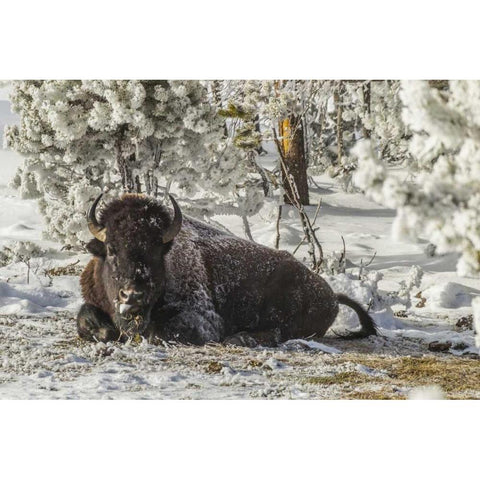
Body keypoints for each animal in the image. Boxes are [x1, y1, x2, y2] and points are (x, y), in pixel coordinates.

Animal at [77, 191, 376, 344]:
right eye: (112, 249)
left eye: (156, 252)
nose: (132, 296)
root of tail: (331, 294)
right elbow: (85, 318)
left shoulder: (205, 321)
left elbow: (161, 330)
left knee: (279, 331)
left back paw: (240, 339)